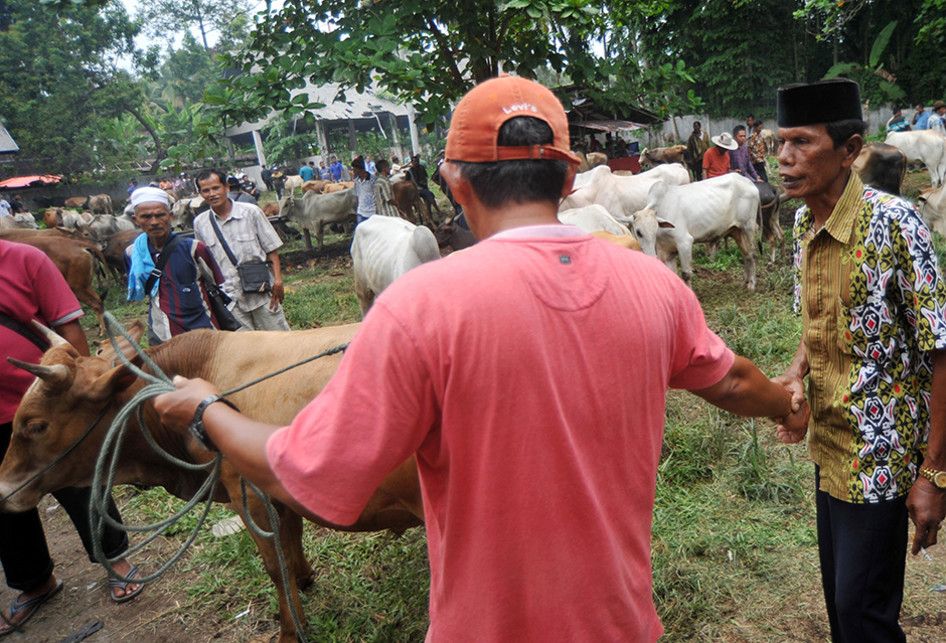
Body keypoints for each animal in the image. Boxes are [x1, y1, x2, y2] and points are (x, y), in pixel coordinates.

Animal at [0, 328, 420, 643]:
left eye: (36, 425)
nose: (3, 490)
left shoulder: (247, 494)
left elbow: (275, 565)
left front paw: (290, 631)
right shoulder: (278, 495)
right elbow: (291, 547)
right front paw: (304, 581)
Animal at [628, 172, 760, 290]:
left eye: (655, 230)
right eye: (638, 232)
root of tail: (748, 182)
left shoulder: (685, 242)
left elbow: (686, 274)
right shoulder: (666, 251)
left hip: (748, 226)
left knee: (752, 253)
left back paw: (752, 284)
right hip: (736, 230)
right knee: (746, 253)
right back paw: (745, 281)